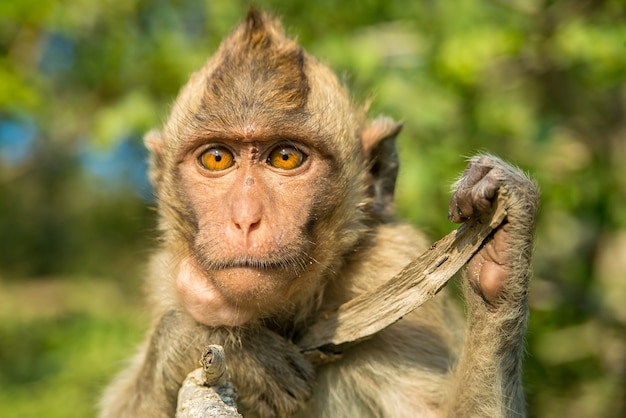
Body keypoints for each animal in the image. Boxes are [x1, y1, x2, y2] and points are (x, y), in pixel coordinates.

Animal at [97, 9, 536, 418]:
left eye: (285, 157)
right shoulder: (163, 280)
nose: (245, 219)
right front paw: (229, 346)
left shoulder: (391, 265)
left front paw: (500, 255)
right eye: (217, 158)